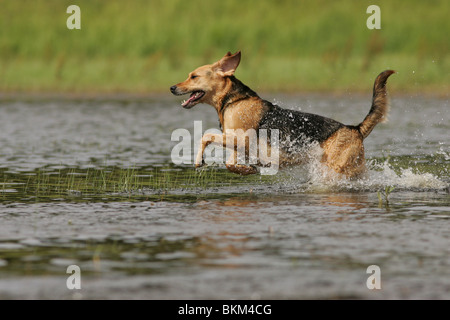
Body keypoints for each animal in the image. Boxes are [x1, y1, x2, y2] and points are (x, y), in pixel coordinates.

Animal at [170, 51, 394, 179]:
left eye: (193, 76)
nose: (172, 87)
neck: (233, 100)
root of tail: (355, 128)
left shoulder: (238, 138)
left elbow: (205, 136)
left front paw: (199, 161)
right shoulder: (238, 144)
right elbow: (230, 163)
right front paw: (248, 170)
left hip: (337, 169)